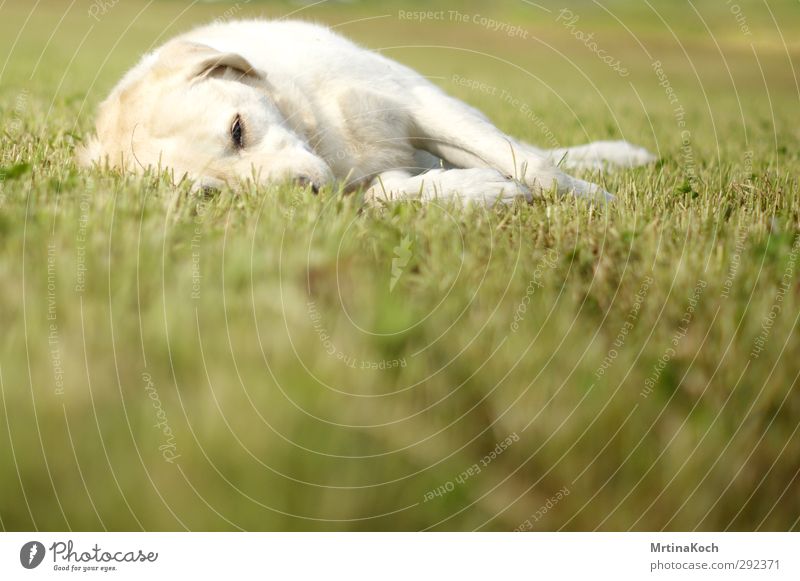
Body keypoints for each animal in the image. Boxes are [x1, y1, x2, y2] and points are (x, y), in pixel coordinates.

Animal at [79, 19, 656, 204]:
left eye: (237, 130)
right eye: (213, 196)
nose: (304, 194)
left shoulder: (418, 103)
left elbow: (536, 167)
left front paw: (598, 202)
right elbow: (384, 194)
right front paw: (481, 191)